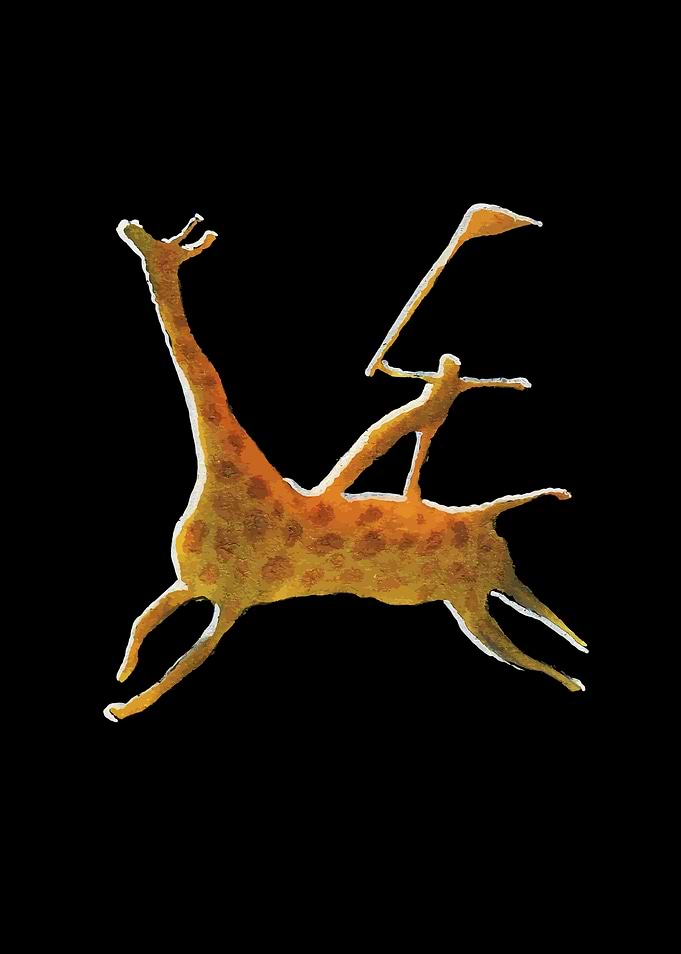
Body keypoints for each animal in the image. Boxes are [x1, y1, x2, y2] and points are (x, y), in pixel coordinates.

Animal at [105, 208, 587, 721]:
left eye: (168, 251)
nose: (128, 227)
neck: (224, 472)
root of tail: (485, 523)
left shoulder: (233, 600)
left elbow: (181, 665)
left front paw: (125, 707)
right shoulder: (192, 584)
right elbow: (143, 621)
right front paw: (124, 676)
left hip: (474, 599)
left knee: (518, 640)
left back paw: (571, 674)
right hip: (477, 590)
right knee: (525, 600)